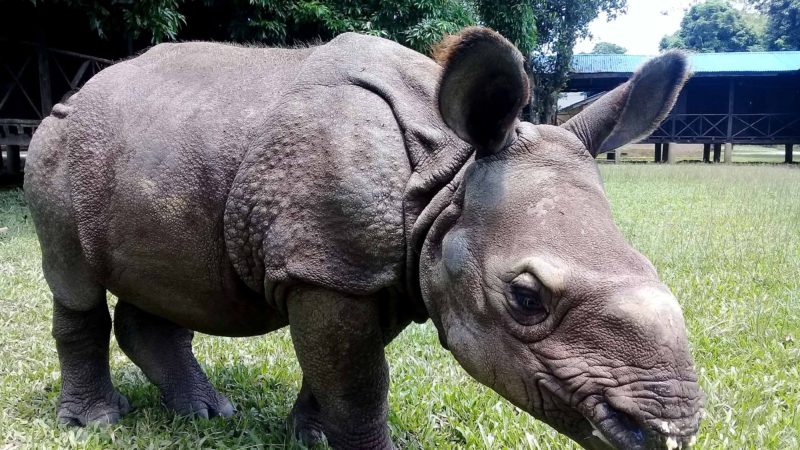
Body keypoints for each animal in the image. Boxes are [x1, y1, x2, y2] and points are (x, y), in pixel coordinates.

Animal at [23, 27, 700, 450]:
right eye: (526, 298)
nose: (667, 430)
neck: (446, 171)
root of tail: (75, 93)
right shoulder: (329, 266)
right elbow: (359, 380)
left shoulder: (383, 268)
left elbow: (341, 371)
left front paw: (315, 436)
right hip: (57, 146)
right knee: (73, 279)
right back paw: (98, 423)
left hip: (165, 146)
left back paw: (206, 413)